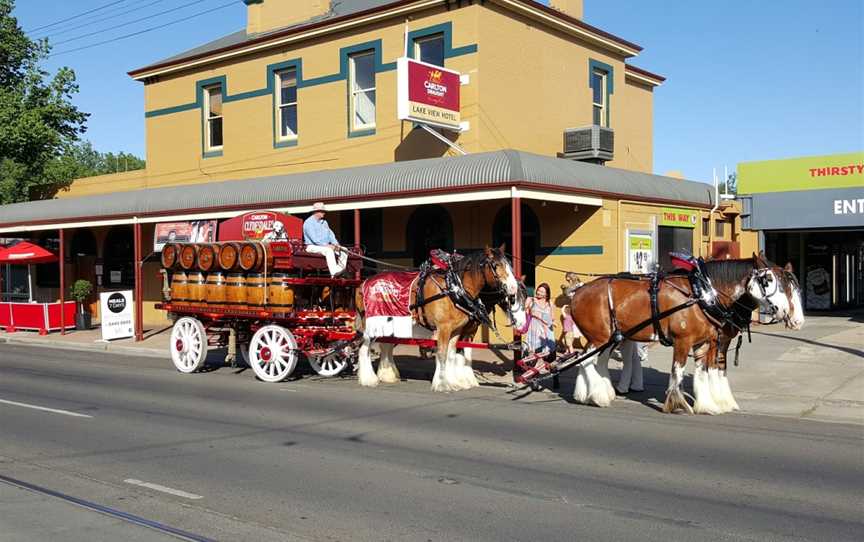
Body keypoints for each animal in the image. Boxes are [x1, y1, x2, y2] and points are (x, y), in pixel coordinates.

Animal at [352, 249, 528, 394]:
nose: (522, 326)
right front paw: (443, 384)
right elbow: (444, 354)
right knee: (364, 348)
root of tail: (363, 283)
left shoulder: (461, 330)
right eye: (496, 265)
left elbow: (455, 354)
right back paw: (369, 379)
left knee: (385, 346)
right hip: (373, 325)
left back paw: (387, 374)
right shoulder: (445, 328)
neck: (455, 289)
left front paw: (457, 381)